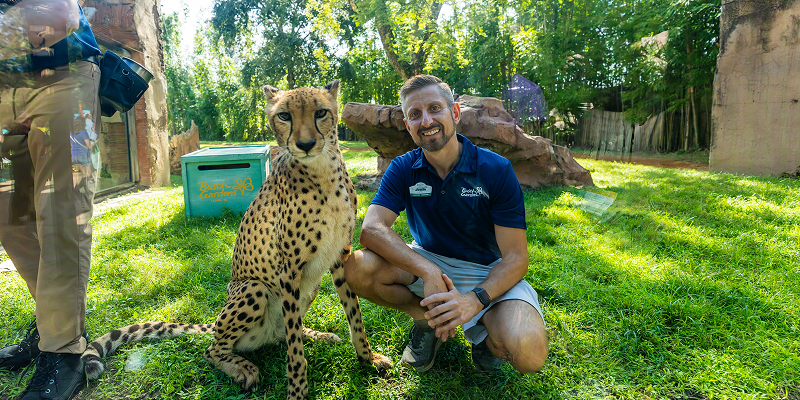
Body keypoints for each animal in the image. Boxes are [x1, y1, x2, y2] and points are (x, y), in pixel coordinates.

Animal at [80, 80, 392, 399]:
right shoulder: (288, 269)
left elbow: (354, 315)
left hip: (310, 285)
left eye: (321, 112)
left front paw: (368, 359)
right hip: (254, 288)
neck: (323, 173)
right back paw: (243, 368)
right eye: (284, 116)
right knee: (215, 349)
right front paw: (297, 390)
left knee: (284, 332)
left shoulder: (340, 256)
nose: (305, 144)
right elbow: (295, 350)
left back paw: (317, 334)